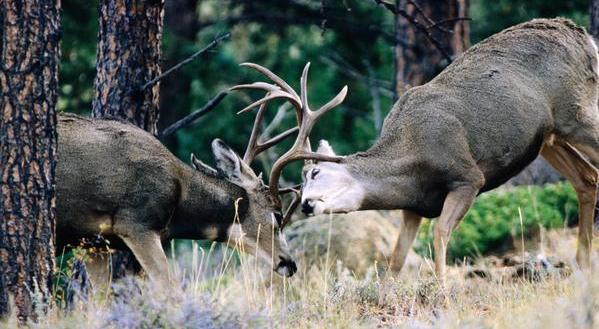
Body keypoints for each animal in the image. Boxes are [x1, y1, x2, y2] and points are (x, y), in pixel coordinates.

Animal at [300, 18, 599, 280]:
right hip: (549, 138)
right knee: (587, 178)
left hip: (577, 115)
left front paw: (441, 289)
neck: (411, 157)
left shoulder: (467, 176)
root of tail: (582, 35)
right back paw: (582, 266)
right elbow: (397, 257)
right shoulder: (415, 207)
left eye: (315, 172)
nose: (305, 205)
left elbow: (440, 232)